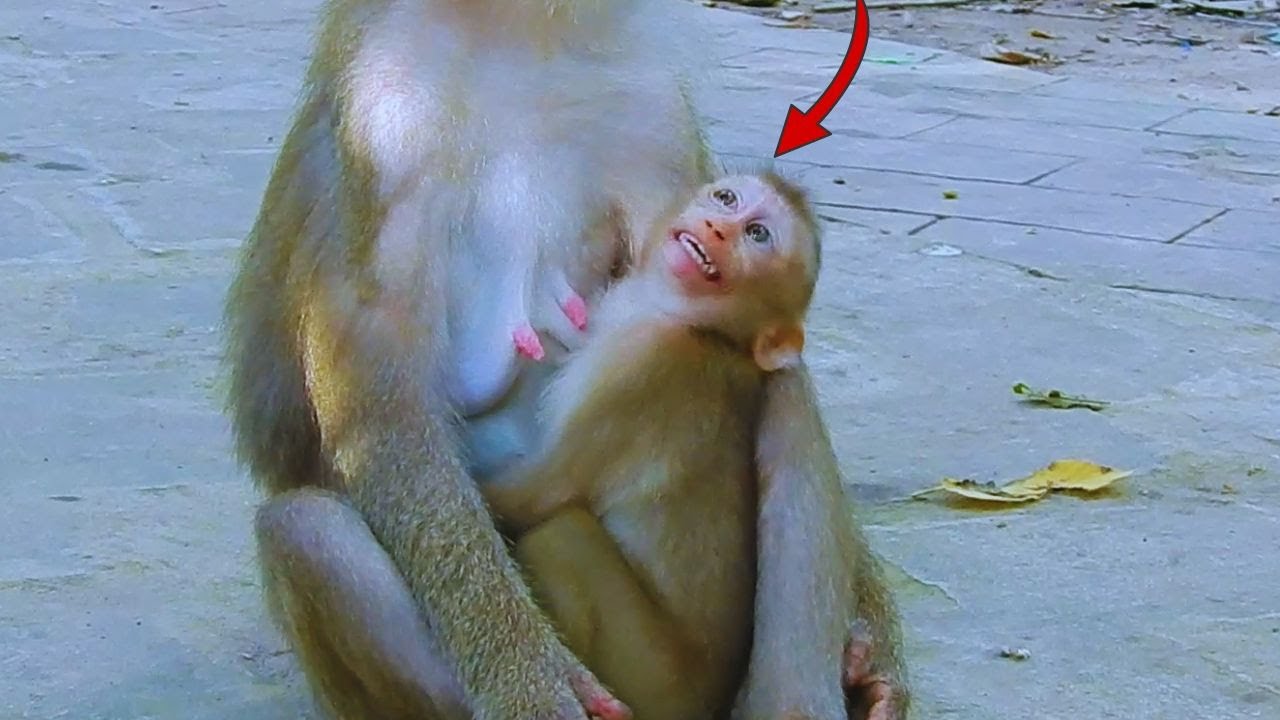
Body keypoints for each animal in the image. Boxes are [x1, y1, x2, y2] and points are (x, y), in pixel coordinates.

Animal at [478, 172, 821, 720]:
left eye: (758, 235)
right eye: (727, 199)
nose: (717, 228)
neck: (704, 330)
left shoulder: (642, 364)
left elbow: (538, 493)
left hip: (652, 674)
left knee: (561, 535)